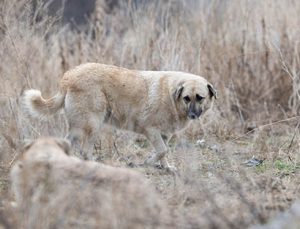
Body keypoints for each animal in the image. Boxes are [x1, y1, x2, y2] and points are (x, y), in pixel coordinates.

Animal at [22, 62, 217, 168]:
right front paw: (148, 162)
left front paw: (166, 167)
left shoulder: (164, 134)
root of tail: (68, 77)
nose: (193, 115)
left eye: (200, 98)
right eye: (187, 98)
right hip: (93, 124)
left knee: (70, 143)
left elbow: (163, 152)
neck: (172, 96)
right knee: (85, 150)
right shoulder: (151, 131)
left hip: (80, 128)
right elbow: (163, 150)